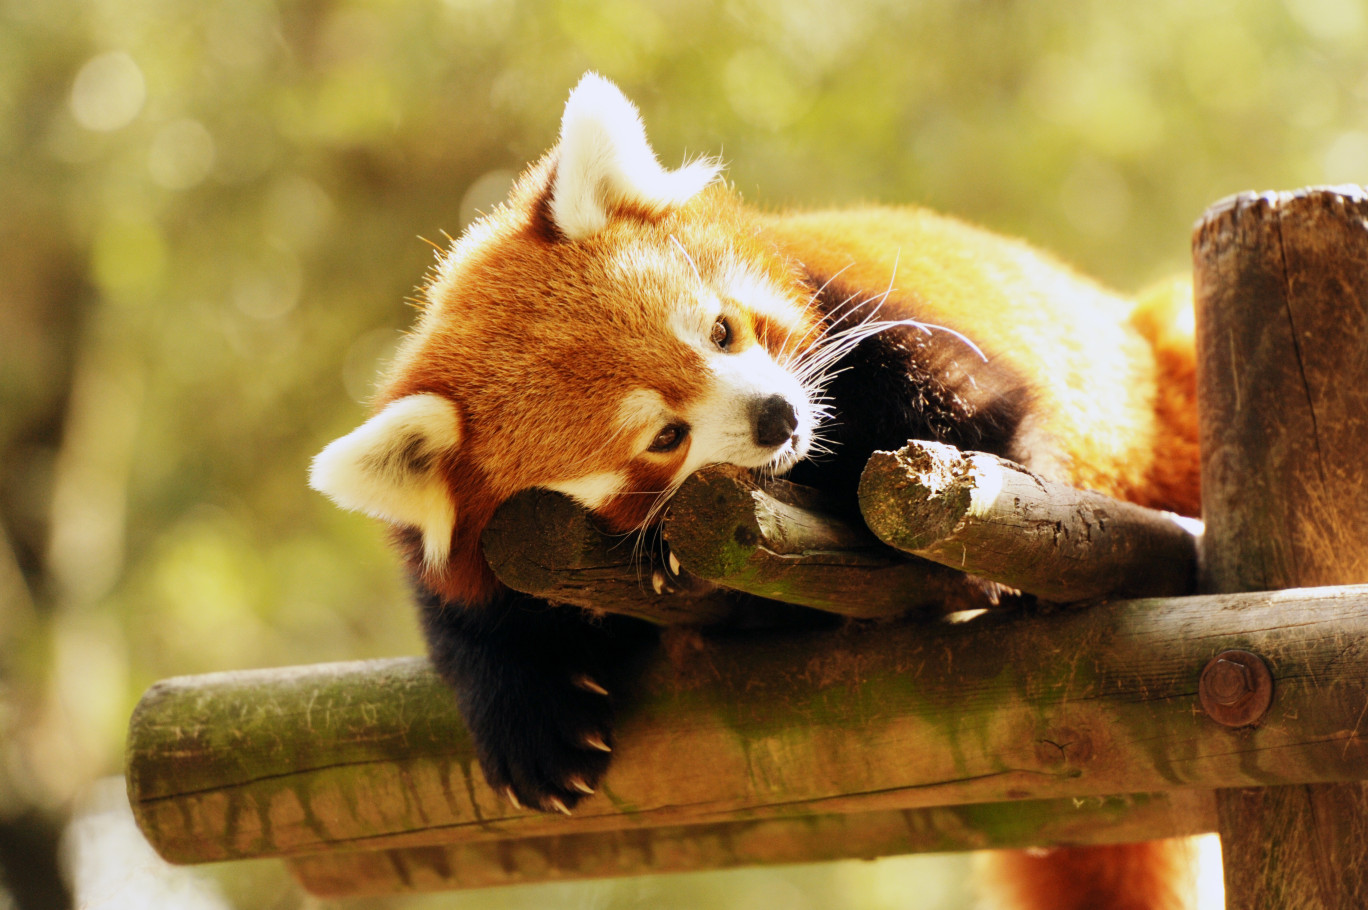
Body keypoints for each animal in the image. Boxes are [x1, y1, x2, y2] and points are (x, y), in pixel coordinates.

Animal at [307, 72, 1198, 908]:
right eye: (665, 437)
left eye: (722, 332)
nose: (777, 416)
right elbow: (463, 612)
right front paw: (529, 720)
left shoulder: (859, 316)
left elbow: (982, 413)